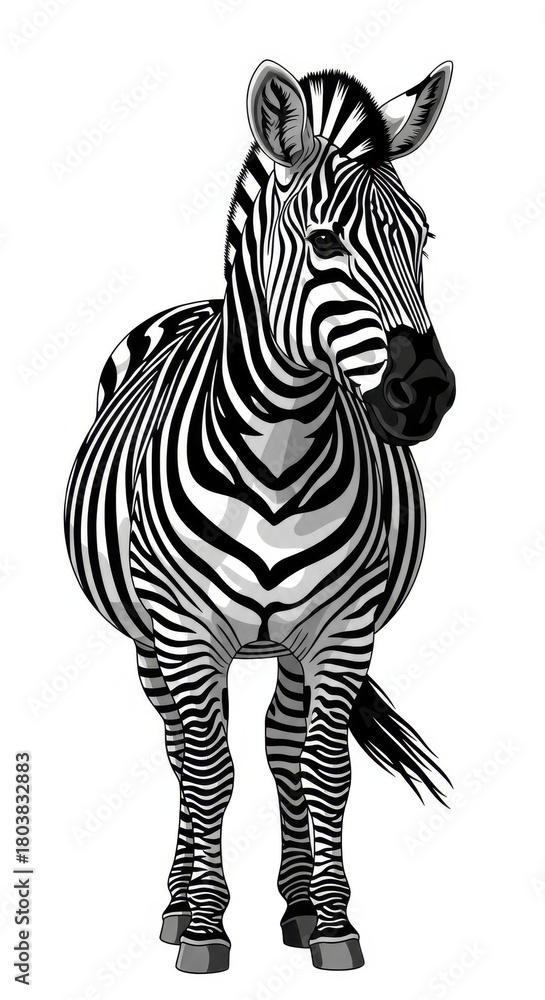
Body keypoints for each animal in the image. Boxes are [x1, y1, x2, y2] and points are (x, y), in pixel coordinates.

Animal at [64, 59, 456, 974]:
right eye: (324, 243)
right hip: (149, 640)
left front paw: (335, 925)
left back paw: (300, 906)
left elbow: (324, 768)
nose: (424, 393)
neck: (279, 448)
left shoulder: (343, 626)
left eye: (421, 239)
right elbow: (209, 772)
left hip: (291, 641)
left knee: (281, 747)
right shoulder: (181, 630)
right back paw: (177, 905)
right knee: (182, 754)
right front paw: (203, 931)